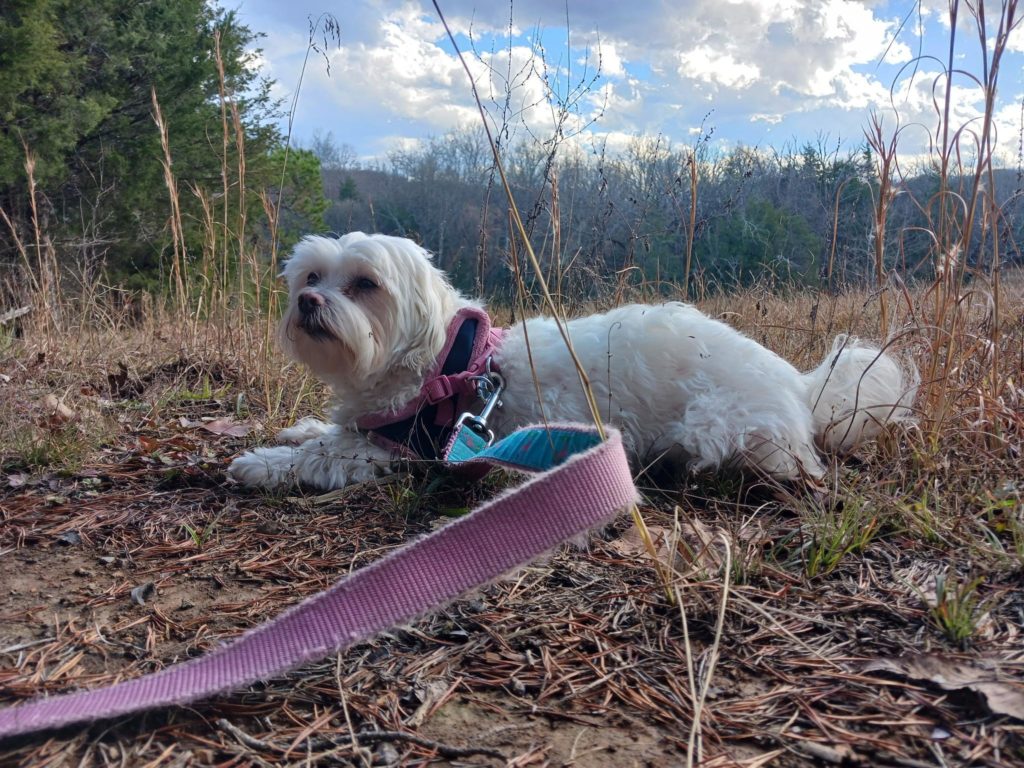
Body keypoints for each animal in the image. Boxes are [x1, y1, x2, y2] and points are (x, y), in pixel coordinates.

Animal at [228, 231, 917, 493]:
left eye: (365, 284)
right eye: (311, 276)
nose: (308, 301)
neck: (442, 360)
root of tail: (799, 386)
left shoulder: (405, 447)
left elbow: (328, 453)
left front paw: (264, 461)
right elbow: (327, 429)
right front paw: (299, 429)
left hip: (718, 428)